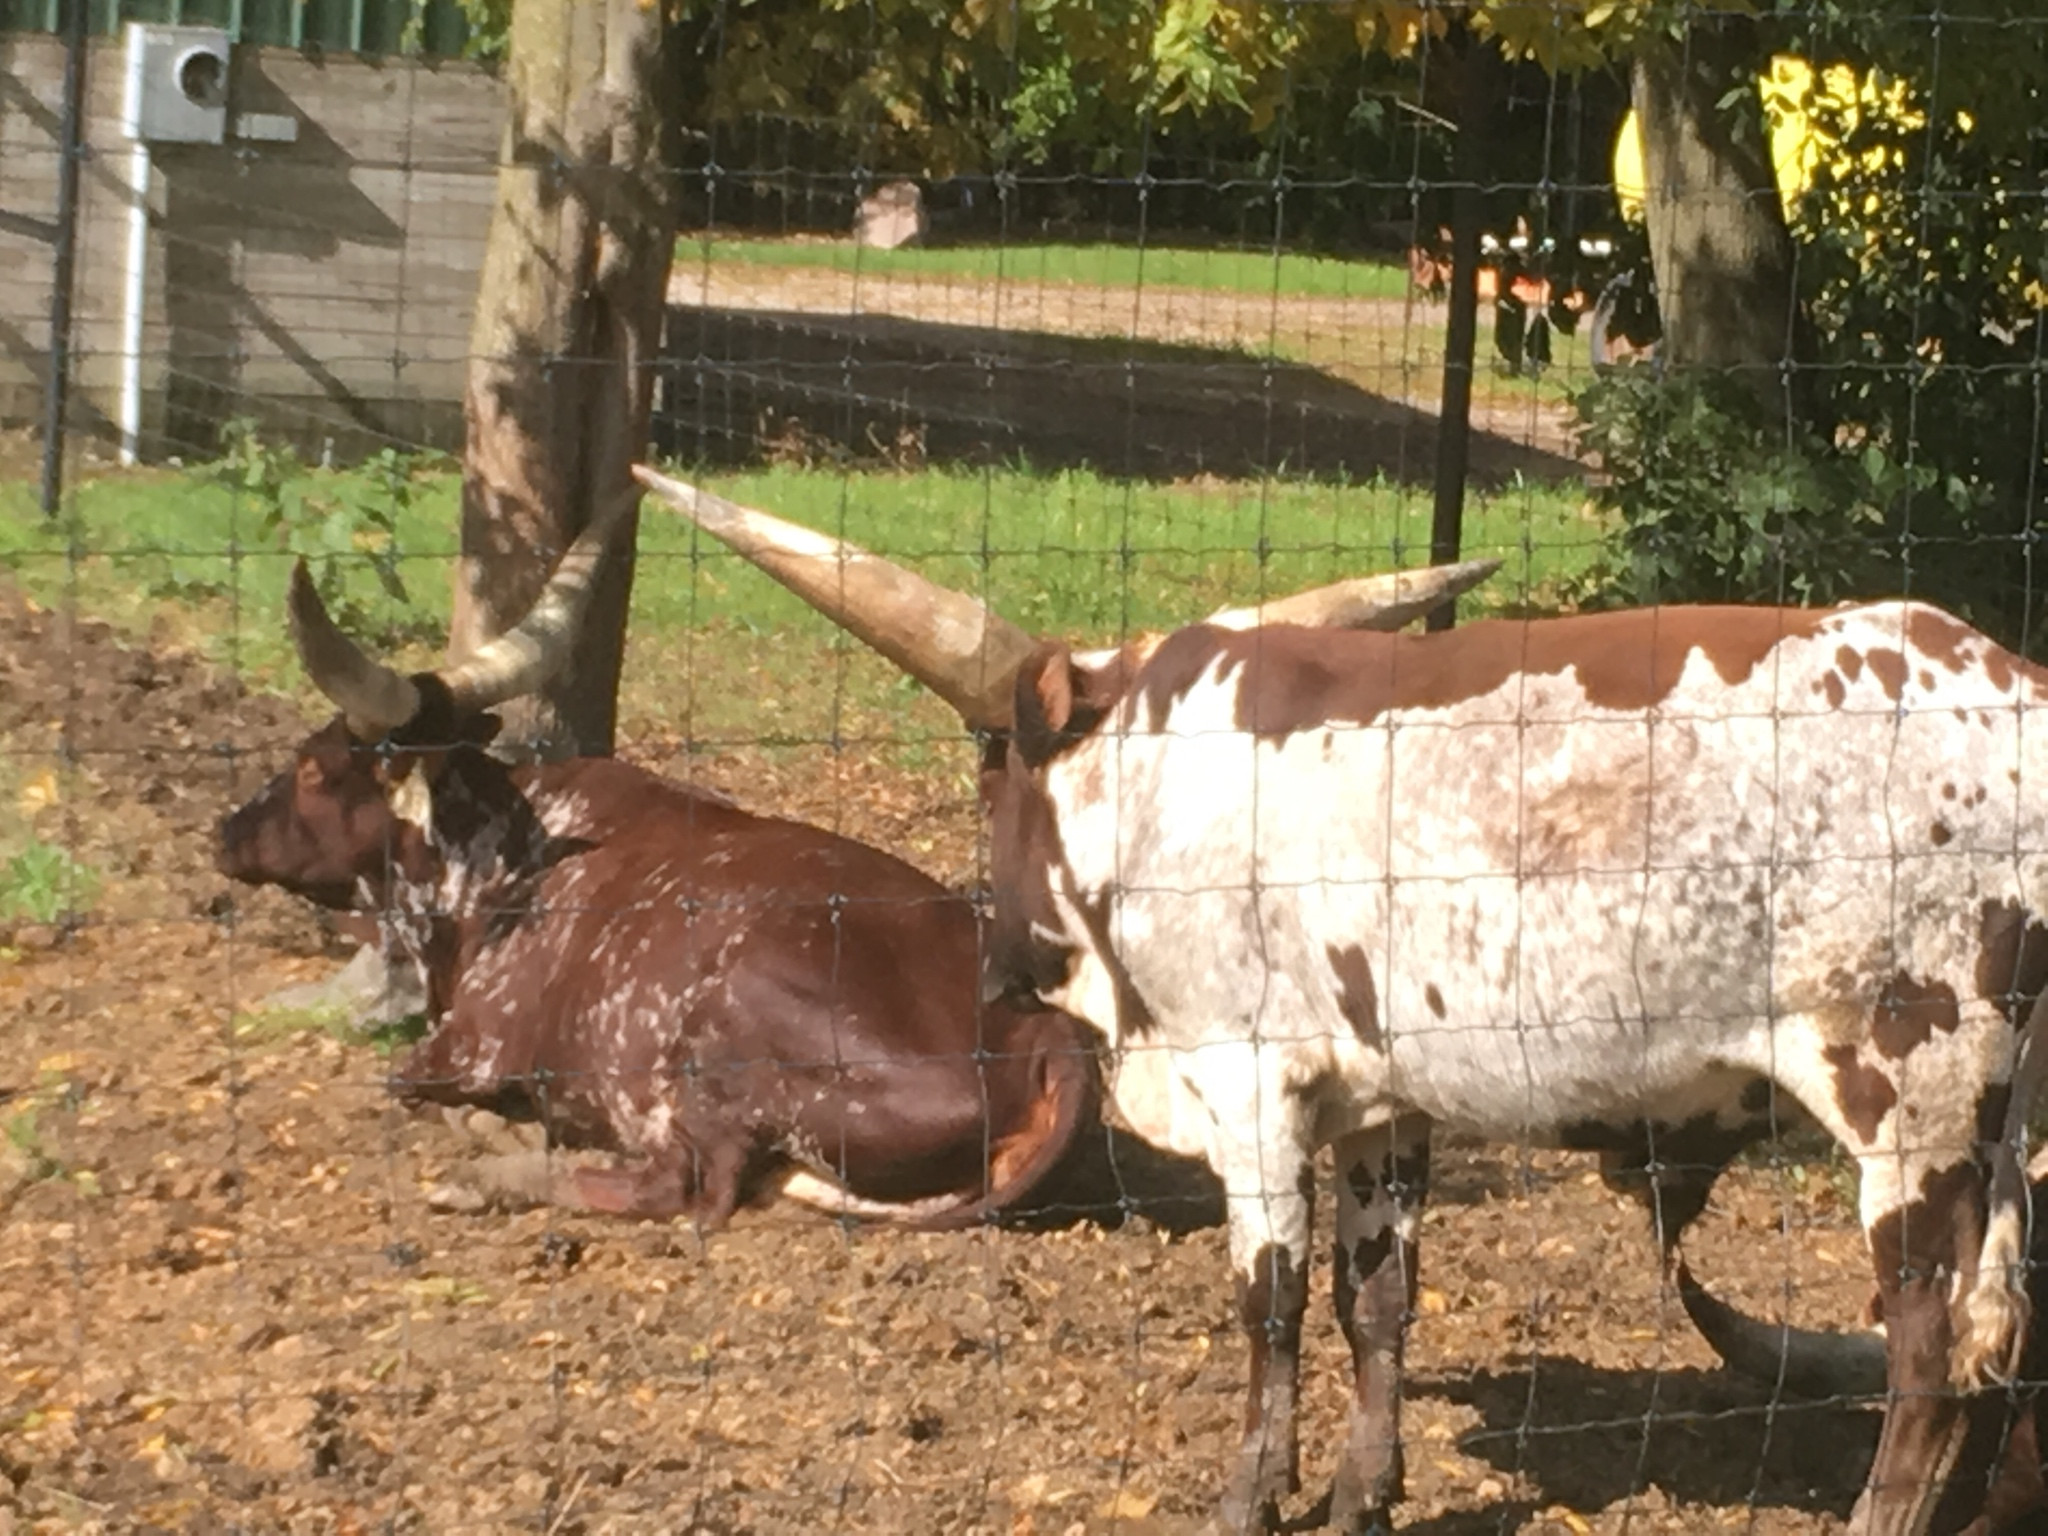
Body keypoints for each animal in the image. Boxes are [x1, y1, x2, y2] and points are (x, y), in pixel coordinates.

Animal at [216, 499, 1097, 1236]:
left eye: (314, 769)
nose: (225, 832)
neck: (504, 859)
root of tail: (1046, 1029)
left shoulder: (468, 1044)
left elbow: (401, 1082)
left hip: (722, 1044)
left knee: (687, 1186)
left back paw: (496, 1171)